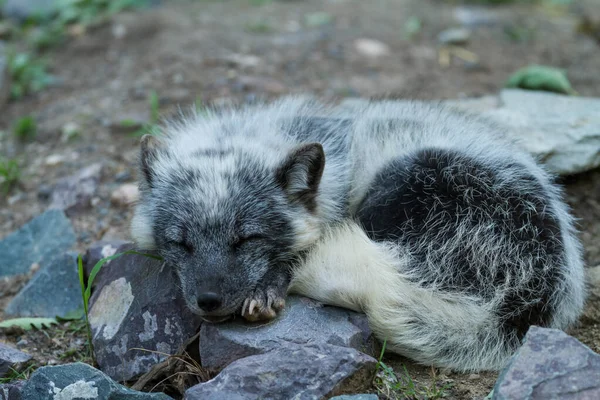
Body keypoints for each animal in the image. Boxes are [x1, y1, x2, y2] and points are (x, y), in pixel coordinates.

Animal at [131, 97, 584, 372]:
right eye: (180, 243)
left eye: (247, 239)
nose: (208, 301)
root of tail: (530, 298)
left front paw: (268, 286)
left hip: (409, 182)